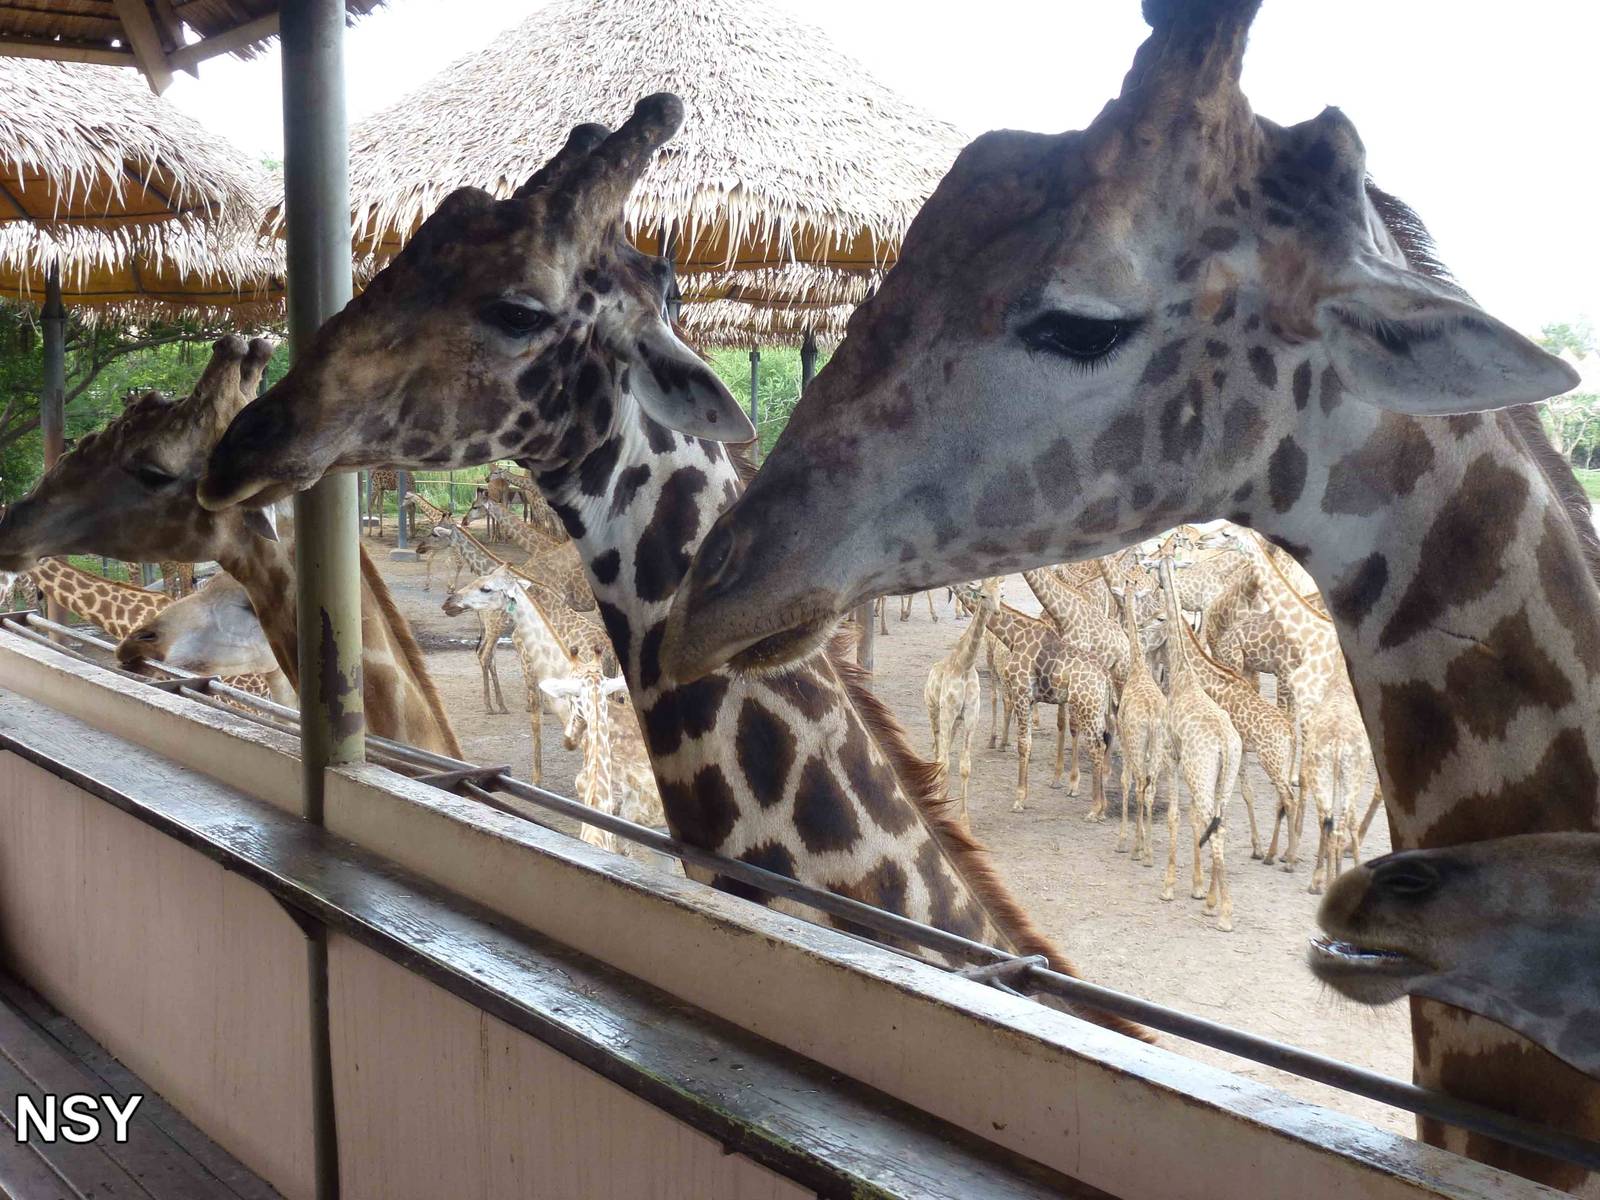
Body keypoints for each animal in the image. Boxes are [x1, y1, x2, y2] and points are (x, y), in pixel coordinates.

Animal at [922, 579, 993, 819]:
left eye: (1002, 593)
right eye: (984, 595)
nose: (997, 611)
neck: (964, 666)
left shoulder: (970, 716)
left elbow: (964, 766)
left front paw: (964, 819)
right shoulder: (948, 712)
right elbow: (943, 760)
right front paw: (940, 806)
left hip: (954, 721)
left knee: (942, 751)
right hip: (934, 711)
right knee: (937, 751)